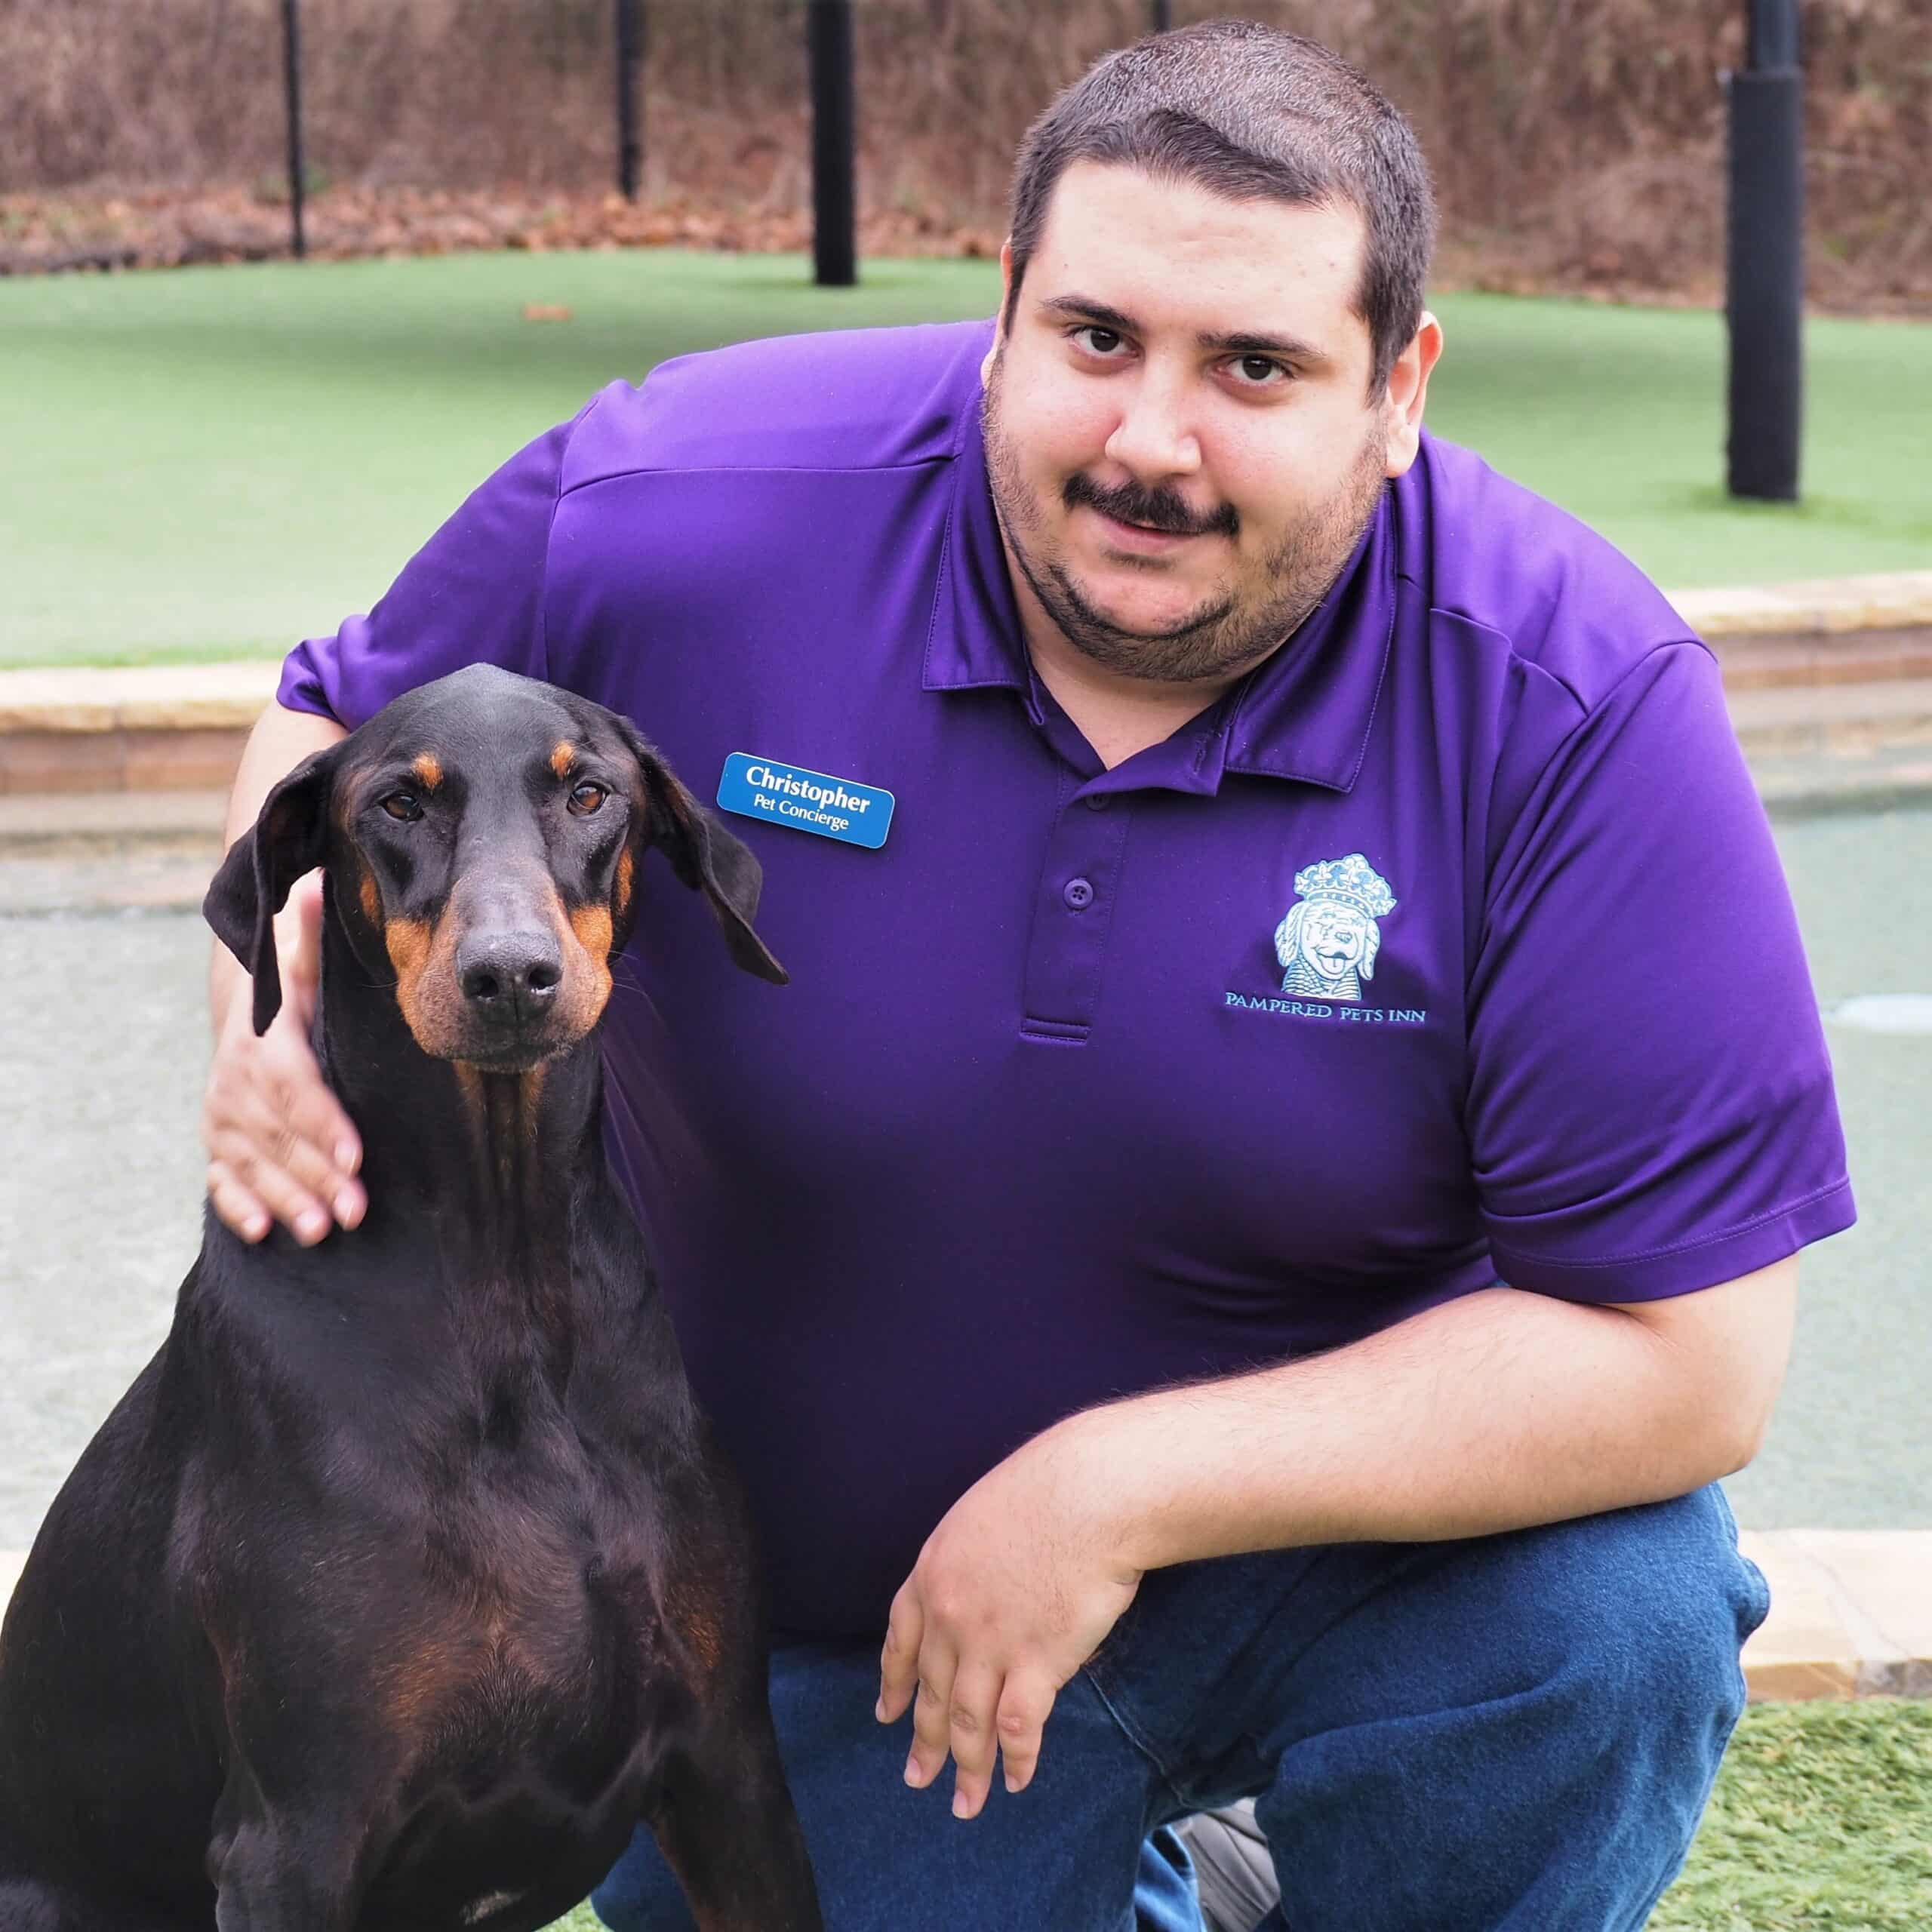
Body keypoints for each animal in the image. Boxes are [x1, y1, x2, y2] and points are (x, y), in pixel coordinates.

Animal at [0, 668, 823, 1932]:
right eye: (398, 804)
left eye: (589, 792)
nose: (511, 975)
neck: (508, 1283)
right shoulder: (293, 1837)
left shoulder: (732, 1773)